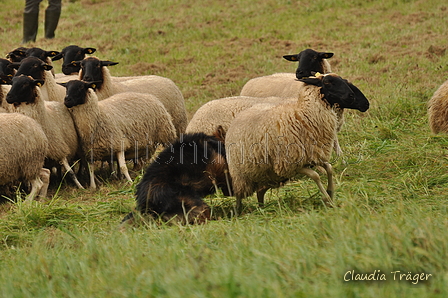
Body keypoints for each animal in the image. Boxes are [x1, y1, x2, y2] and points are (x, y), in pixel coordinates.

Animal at [226, 73, 370, 212]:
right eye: (328, 82)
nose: (352, 95)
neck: (302, 116)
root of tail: (237, 118)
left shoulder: (314, 155)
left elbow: (329, 168)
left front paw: (330, 192)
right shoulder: (290, 164)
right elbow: (315, 175)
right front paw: (327, 198)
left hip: (265, 174)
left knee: (260, 192)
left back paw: (262, 208)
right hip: (241, 174)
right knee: (239, 194)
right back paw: (238, 212)